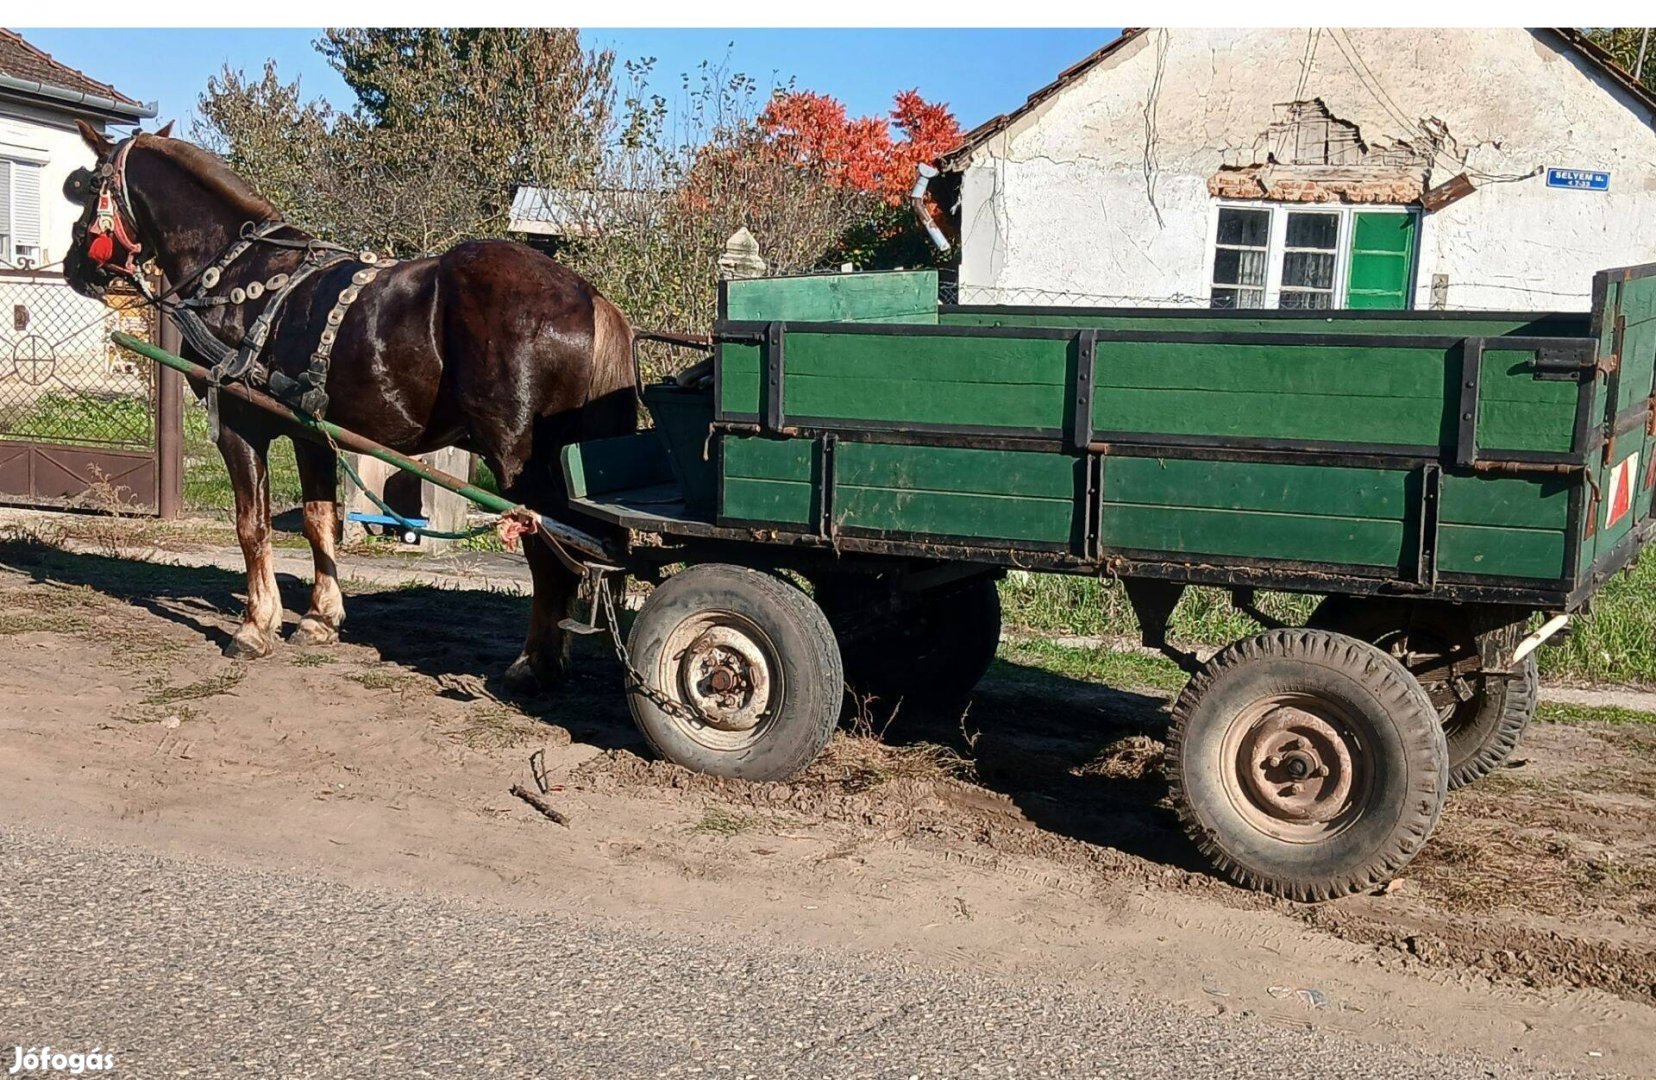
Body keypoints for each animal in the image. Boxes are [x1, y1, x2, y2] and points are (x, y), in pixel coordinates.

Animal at [61, 120, 635, 692]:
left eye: (87, 185)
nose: (73, 267)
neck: (234, 270)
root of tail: (589, 297)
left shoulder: (241, 426)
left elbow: (252, 525)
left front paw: (255, 625)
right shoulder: (311, 430)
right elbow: (320, 521)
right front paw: (320, 618)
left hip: (521, 464)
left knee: (549, 552)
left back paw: (535, 660)